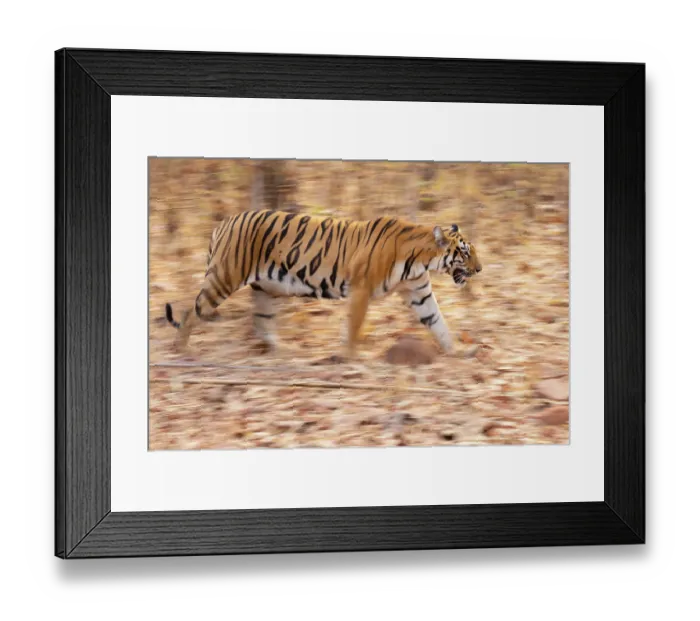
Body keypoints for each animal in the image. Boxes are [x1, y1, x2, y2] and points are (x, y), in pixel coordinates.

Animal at [164, 209, 482, 359]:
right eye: (465, 252)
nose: (479, 269)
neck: (420, 260)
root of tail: (223, 223)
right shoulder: (361, 289)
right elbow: (354, 325)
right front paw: (352, 357)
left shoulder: (418, 292)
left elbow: (438, 323)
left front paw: (458, 351)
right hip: (224, 277)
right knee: (190, 311)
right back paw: (181, 350)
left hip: (266, 288)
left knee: (262, 322)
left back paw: (282, 352)